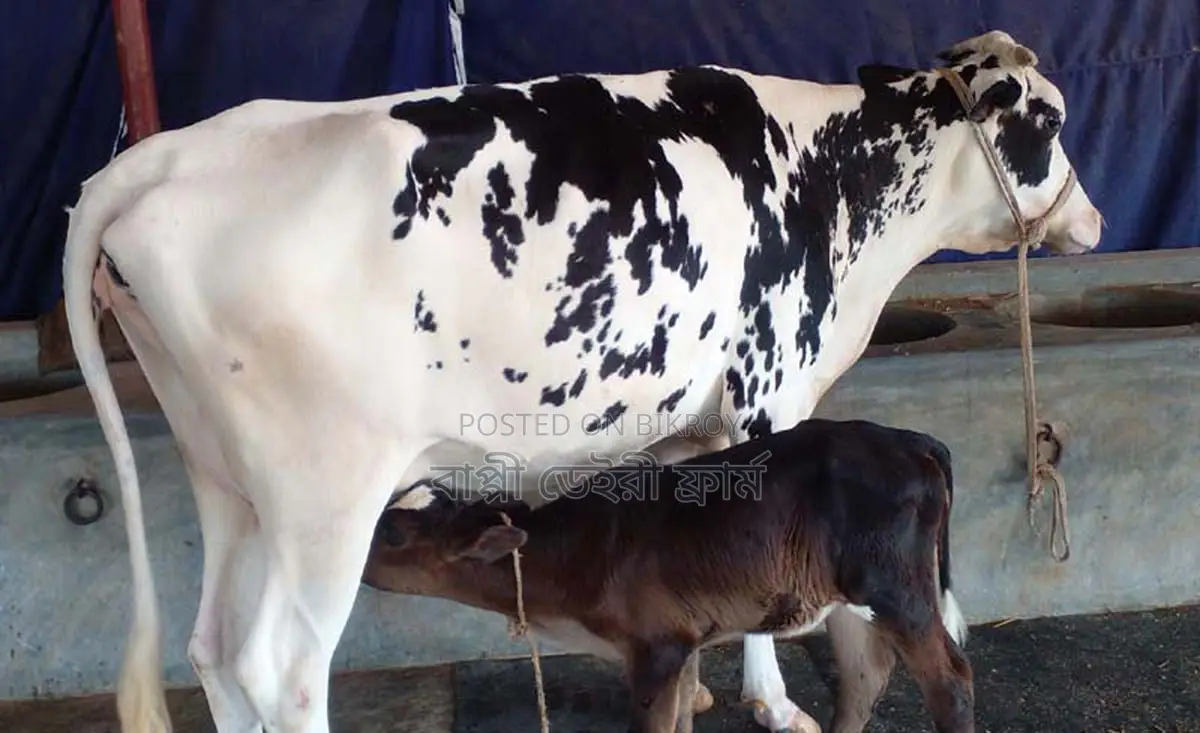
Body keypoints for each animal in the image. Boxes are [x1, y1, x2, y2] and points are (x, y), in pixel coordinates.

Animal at [361, 418, 973, 733]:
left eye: (391, 534)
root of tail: (910, 440)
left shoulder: (655, 645)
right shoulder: (684, 640)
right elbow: (681, 717)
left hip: (896, 587)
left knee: (949, 679)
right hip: (849, 595)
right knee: (864, 677)